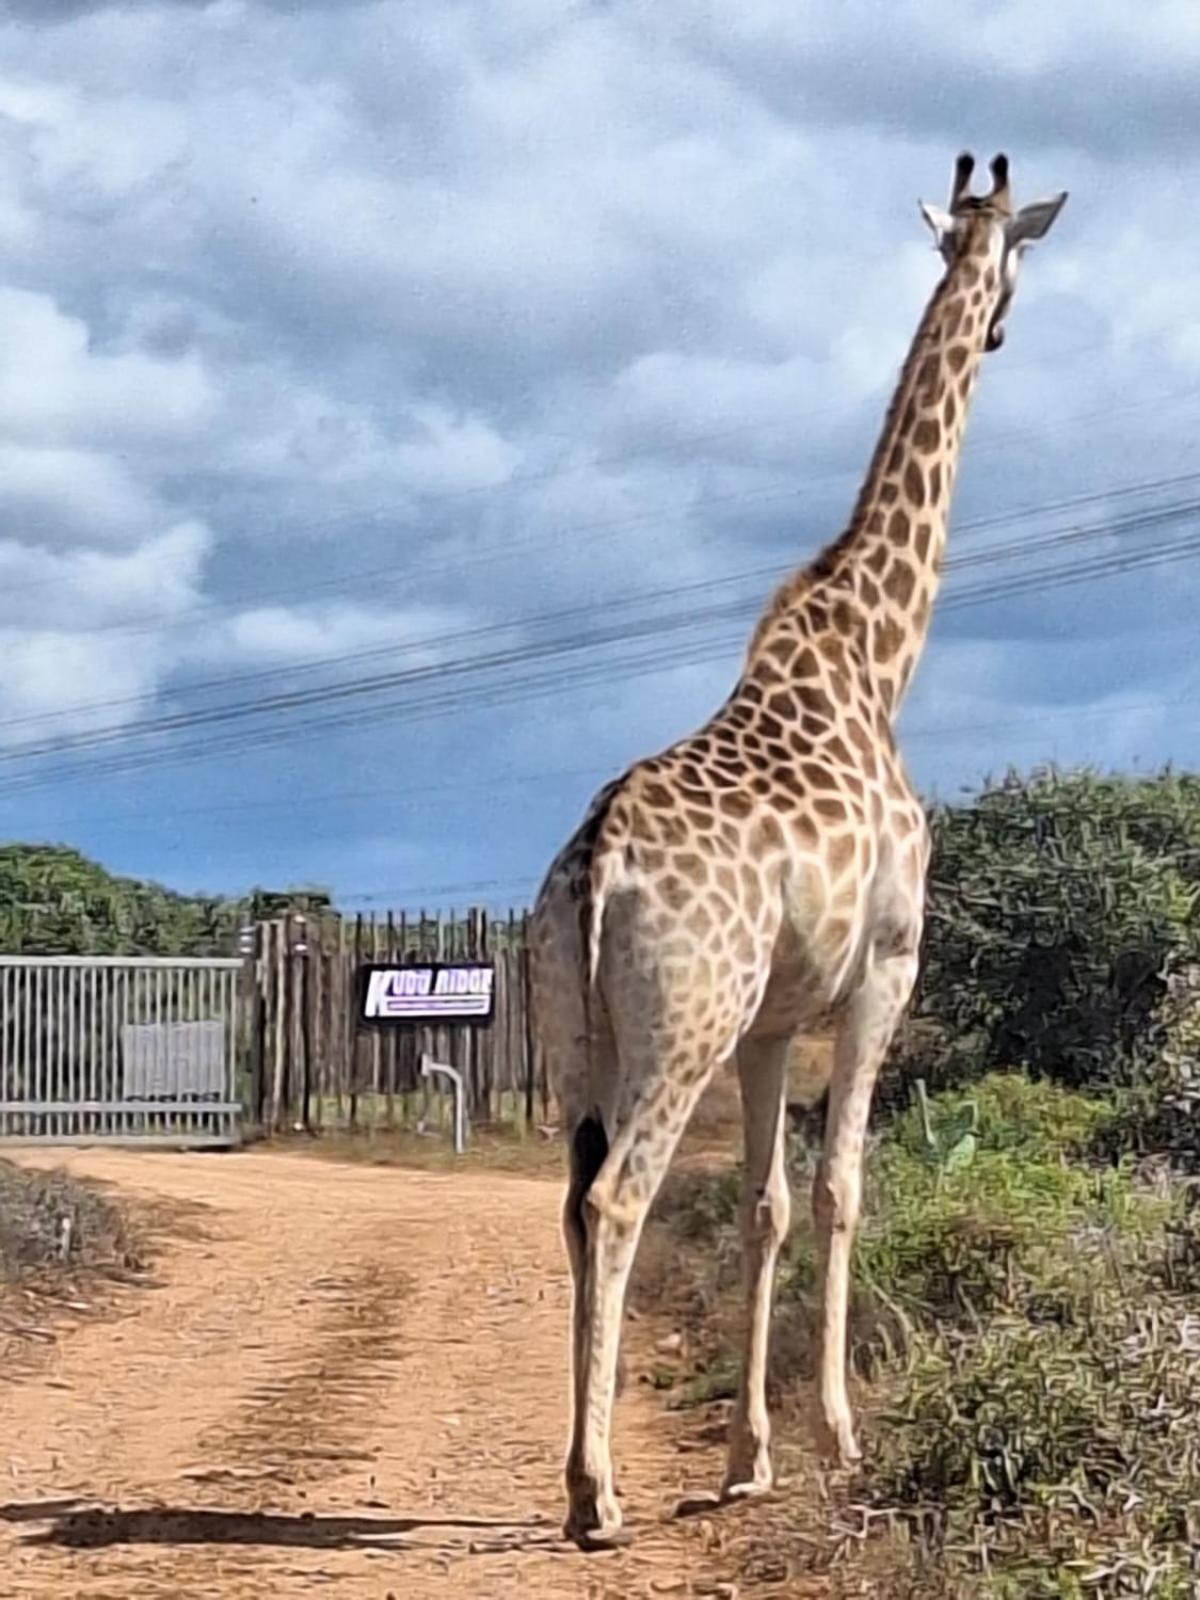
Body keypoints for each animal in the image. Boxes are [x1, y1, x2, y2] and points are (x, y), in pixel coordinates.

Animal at [531, 152, 1068, 1548]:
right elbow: (840, 1190)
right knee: (616, 1201)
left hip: (578, 1034)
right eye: (1021, 257)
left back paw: (589, 1473)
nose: (1004, 326)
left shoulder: (775, 1017)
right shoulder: (886, 967)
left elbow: (766, 1204)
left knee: (570, 1199)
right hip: (682, 1023)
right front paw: (837, 1435)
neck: (880, 657)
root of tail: (595, 865)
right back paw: (594, 1495)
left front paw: (747, 1456)